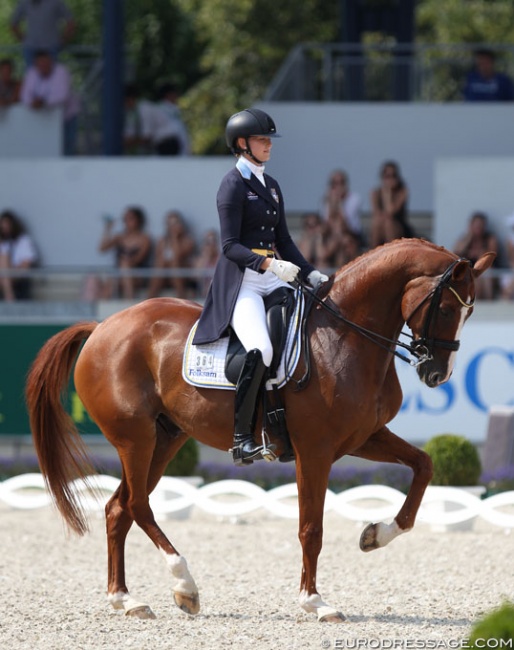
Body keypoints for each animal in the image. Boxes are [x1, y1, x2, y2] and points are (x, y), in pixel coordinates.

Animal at [25, 238, 492, 616]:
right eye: (446, 308)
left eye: (469, 314)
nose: (437, 374)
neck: (345, 338)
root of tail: (102, 327)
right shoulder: (315, 450)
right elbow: (311, 527)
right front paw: (314, 602)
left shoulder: (364, 438)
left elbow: (424, 466)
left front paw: (376, 535)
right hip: (135, 438)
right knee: (138, 505)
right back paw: (185, 585)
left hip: (165, 439)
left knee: (118, 509)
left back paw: (126, 599)